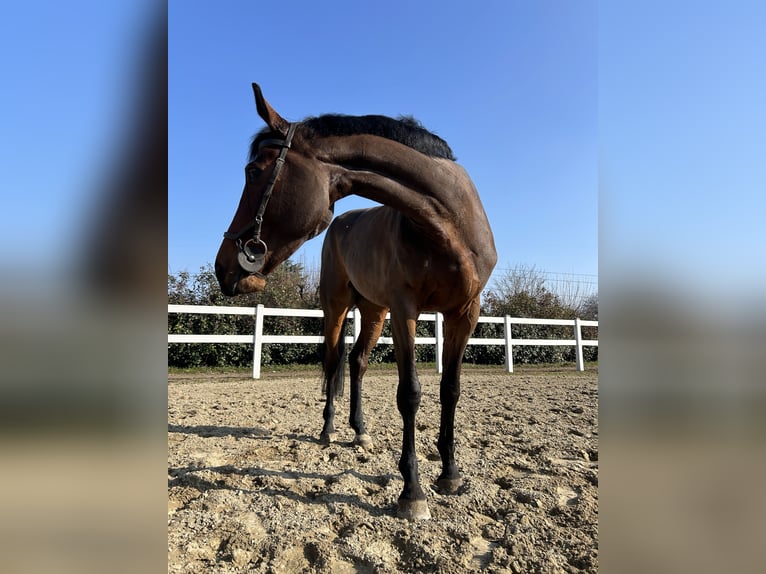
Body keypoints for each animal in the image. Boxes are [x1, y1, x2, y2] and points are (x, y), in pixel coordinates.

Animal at [215, 84, 497, 520]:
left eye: (254, 171)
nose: (223, 266)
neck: (449, 226)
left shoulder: (464, 314)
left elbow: (450, 389)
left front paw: (450, 475)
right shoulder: (406, 311)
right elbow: (410, 393)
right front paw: (412, 492)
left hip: (374, 311)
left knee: (357, 361)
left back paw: (360, 432)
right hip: (338, 307)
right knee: (333, 361)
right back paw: (329, 430)